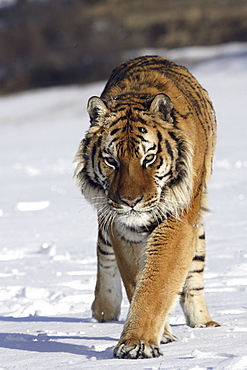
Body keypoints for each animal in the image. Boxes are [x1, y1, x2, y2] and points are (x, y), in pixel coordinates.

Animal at [74, 55, 220, 358]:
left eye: (149, 158)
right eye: (111, 160)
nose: (130, 201)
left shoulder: (179, 220)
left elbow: (157, 282)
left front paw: (137, 343)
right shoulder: (121, 228)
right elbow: (136, 280)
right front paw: (153, 336)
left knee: (195, 269)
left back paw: (203, 322)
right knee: (103, 253)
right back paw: (103, 310)